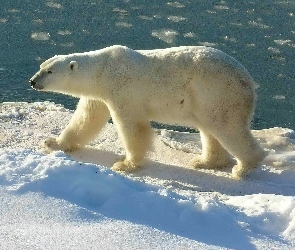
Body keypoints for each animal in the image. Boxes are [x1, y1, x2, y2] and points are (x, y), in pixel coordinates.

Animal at [29, 45, 266, 180]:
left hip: (217, 93)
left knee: (226, 127)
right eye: (41, 66)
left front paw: (126, 164)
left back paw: (243, 168)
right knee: (210, 129)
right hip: (206, 100)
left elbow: (132, 126)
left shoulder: (123, 90)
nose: (32, 81)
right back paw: (205, 162)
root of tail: (249, 81)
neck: (103, 69)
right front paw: (53, 143)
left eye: (49, 71)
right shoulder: (98, 95)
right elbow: (86, 119)